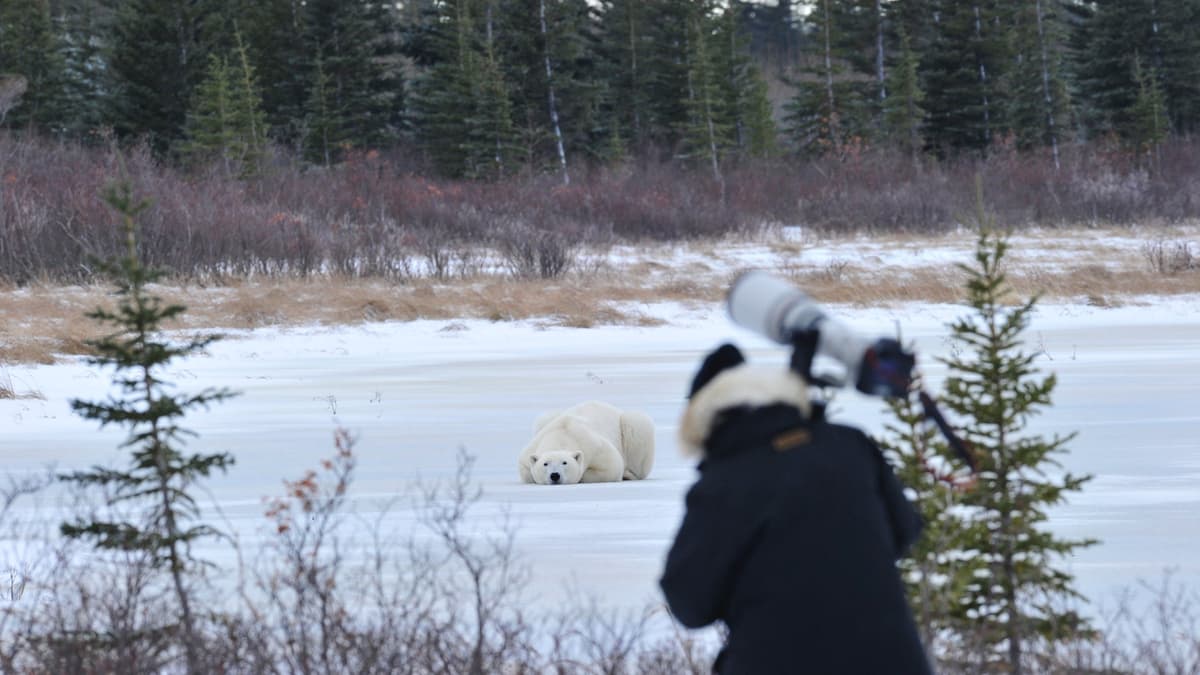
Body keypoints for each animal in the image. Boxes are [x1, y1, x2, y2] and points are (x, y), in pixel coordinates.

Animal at [518, 400, 655, 485]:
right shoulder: (533, 447)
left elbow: (612, 467)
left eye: (564, 462)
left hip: (631, 426)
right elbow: (526, 472)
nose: (555, 475)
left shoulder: (594, 446)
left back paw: (629, 474)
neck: (563, 434)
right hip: (544, 420)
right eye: (545, 464)